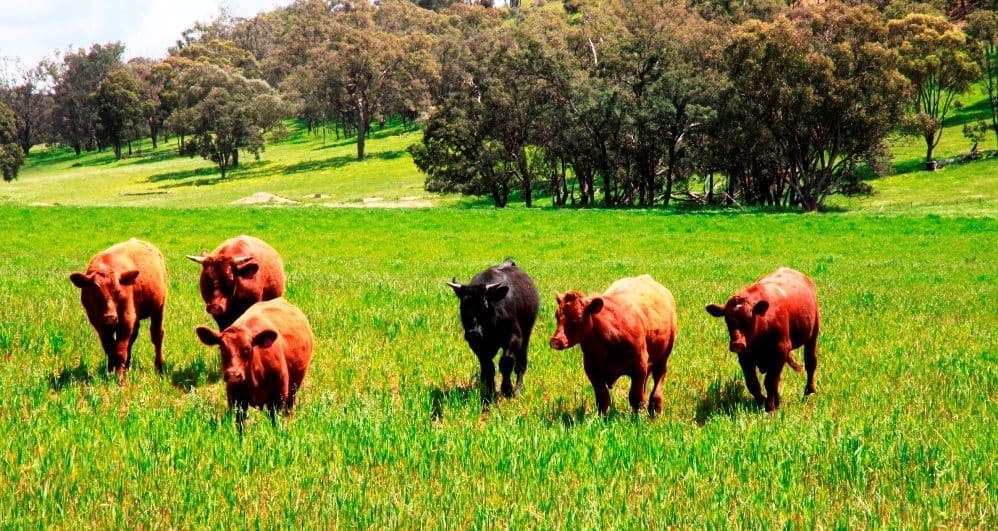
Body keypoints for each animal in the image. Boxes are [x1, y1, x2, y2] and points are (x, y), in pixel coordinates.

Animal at [71, 238, 168, 382]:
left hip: (159, 308)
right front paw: (111, 370)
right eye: (96, 294)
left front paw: (119, 378)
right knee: (132, 339)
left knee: (157, 336)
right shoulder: (98, 323)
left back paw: (159, 367)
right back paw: (126, 366)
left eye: (118, 292)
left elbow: (120, 350)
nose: (110, 317)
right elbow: (110, 347)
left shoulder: (126, 319)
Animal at [194, 298, 312, 434]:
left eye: (248, 349)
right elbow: (241, 428)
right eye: (222, 349)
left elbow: (276, 424)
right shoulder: (237, 402)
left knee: (289, 410)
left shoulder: (278, 398)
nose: (233, 374)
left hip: (293, 389)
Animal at [448, 260, 540, 406]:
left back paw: (518, 390)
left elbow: (506, 362)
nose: (473, 333)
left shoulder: (514, 336)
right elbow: (488, 367)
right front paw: (488, 394)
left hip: (526, 335)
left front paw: (507, 390)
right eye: (462, 306)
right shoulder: (477, 345)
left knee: (521, 364)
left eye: (485, 305)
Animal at [548, 276, 680, 418]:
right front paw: (601, 418)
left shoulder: (639, 366)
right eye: (557, 316)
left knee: (658, 380)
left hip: (663, 357)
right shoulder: (592, 369)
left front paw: (638, 419)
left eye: (577, 318)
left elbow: (636, 398)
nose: (556, 340)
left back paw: (655, 410)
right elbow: (603, 398)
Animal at [704, 268, 820, 414]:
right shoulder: (745, 356)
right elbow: (752, 383)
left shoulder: (779, 352)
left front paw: (770, 408)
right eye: (727, 320)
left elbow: (770, 382)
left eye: (750, 318)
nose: (737, 344)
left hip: (813, 334)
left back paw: (809, 392)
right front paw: (763, 402)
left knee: (811, 363)